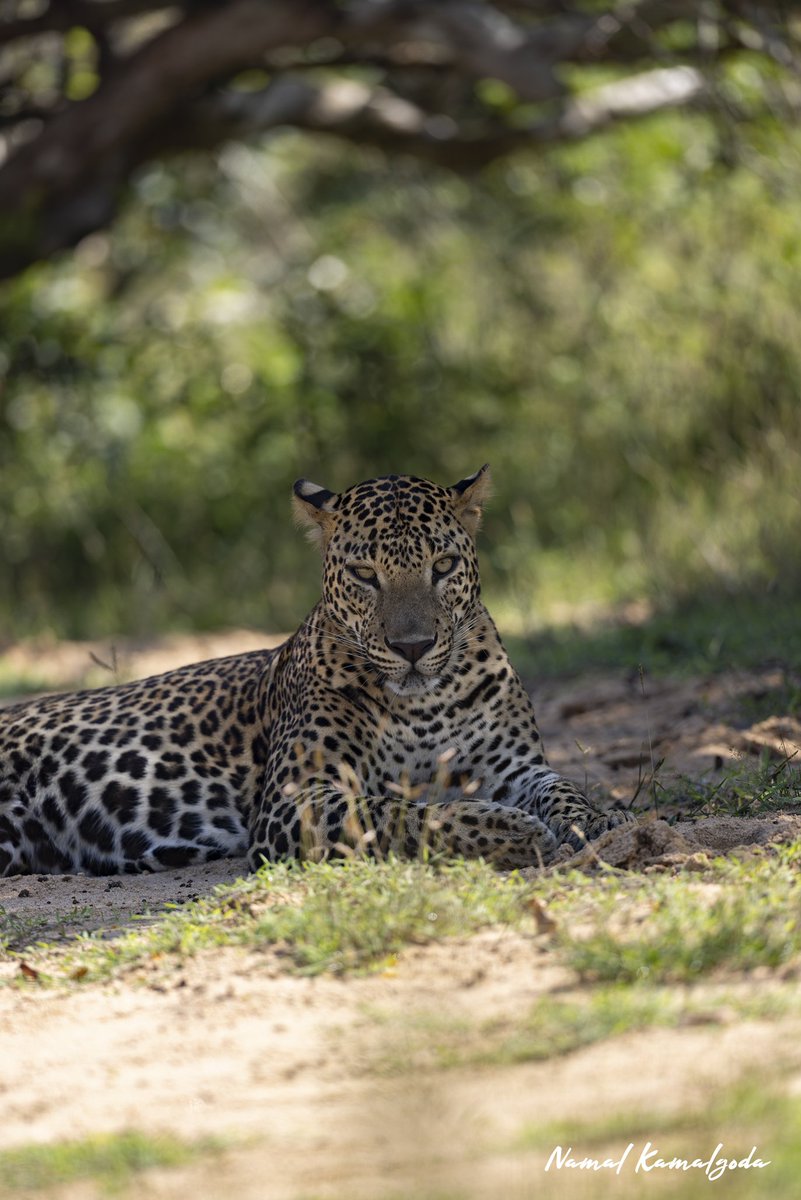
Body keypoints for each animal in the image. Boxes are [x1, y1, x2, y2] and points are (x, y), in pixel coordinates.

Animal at [1, 463, 633, 878]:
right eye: (363, 574)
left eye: (444, 565)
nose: (413, 646)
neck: (423, 705)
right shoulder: (296, 798)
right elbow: (394, 812)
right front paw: (504, 832)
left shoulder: (514, 767)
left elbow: (564, 789)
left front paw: (603, 824)